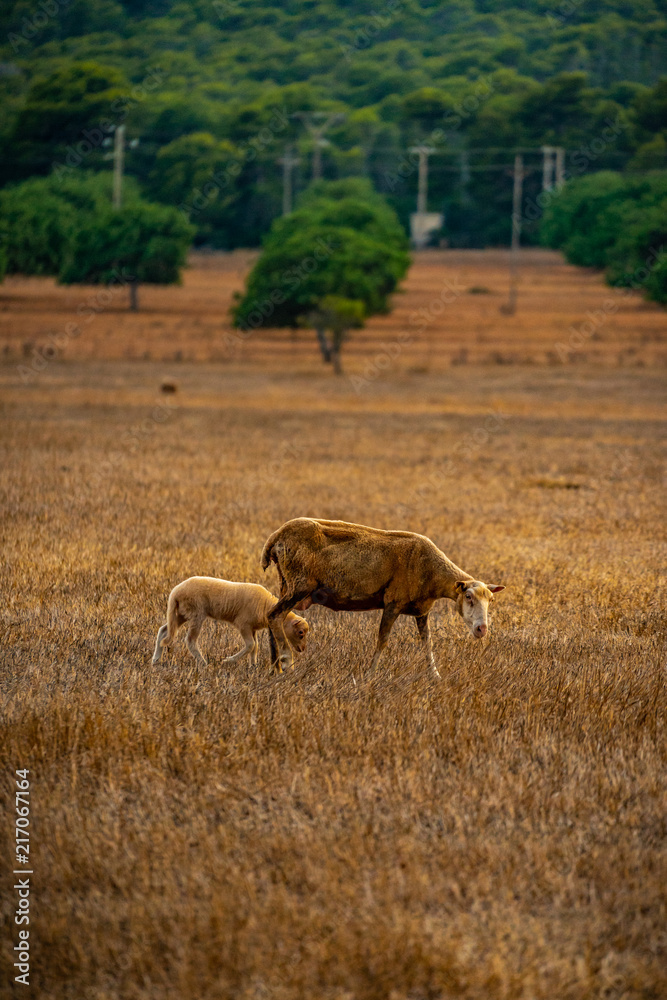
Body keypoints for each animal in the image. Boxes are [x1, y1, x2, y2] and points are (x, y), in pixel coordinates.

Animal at [152, 577, 309, 670]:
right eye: (301, 633)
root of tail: (175, 592)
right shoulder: (243, 624)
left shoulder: (252, 628)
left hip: (182, 613)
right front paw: (228, 661)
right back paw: (203, 663)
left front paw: (253, 666)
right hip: (196, 613)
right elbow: (250, 645)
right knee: (190, 640)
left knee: (164, 631)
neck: (266, 606)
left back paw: (156, 660)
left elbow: (255, 647)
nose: (302, 649)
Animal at [261, 518, 505, 676]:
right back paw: (286, 663)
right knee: (274, 616)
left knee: (273, 619)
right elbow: (382, 640)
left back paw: (274, 668)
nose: (482, 629)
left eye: (491, 601)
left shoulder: (422, 610)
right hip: (299, 586)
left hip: (286, 584)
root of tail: (275, 536)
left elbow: (427, 644)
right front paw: (370, 675)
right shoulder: (392, 604)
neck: (432, 571)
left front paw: (435, 676)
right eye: (468, 596)